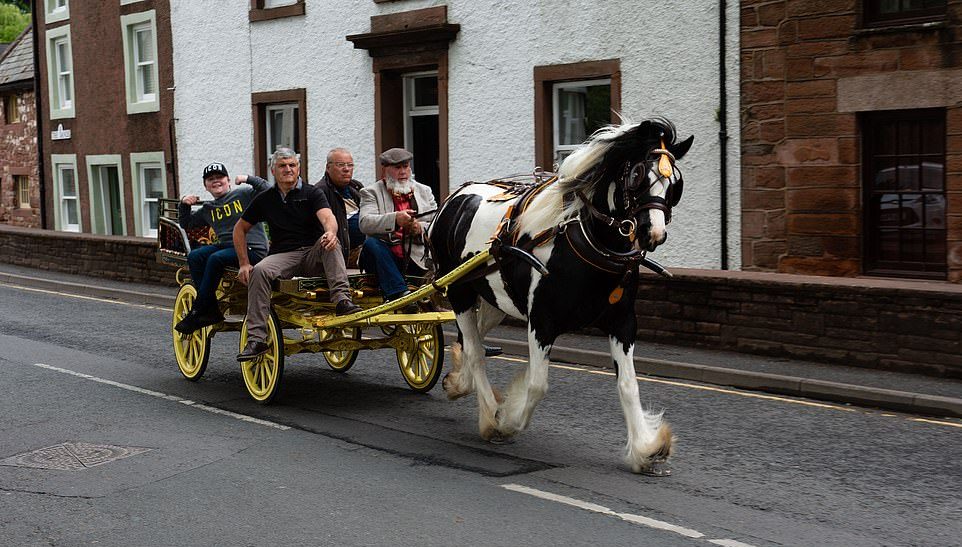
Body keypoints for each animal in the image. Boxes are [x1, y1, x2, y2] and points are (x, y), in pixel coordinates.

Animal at [428, 120, 688, 476]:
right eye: (636, 175)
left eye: (674, 183)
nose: (654, 234)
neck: (584, 242)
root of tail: (454, 197)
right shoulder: (542, 321)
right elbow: (538, 384)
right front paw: (506, 421)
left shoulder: (623, 323)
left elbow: (628, 385)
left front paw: (646, 449)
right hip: (459, 292)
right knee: (477, 352)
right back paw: (489, 416)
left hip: (495, 299)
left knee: (472, 342)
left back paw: (459, 382)